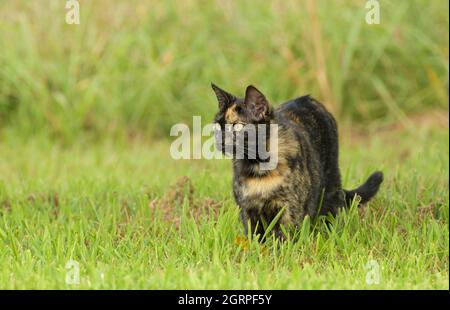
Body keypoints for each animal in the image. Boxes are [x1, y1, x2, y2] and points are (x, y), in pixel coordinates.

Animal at [211, 83, 384, 241]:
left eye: (237, 127)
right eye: (218, 126)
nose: (219, 141)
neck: (257, 166)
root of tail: (309, 99)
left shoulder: (290, 209)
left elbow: (284, 237)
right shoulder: (247, 209)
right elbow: (255, 237)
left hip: (331, 183)